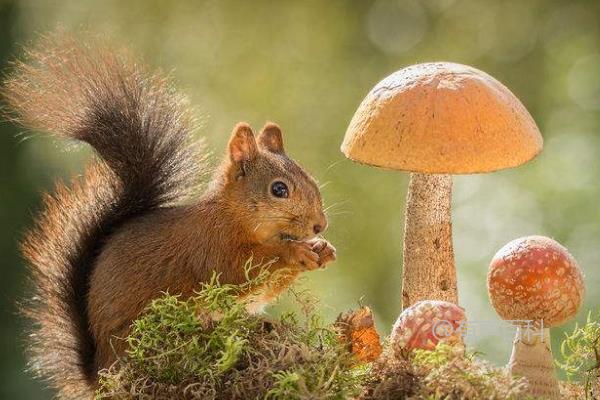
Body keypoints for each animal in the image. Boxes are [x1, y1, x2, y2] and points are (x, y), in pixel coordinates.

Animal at [2, 36, 336, 398]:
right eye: (278, 189)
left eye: (309, 178)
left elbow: (263, 290)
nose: (320, 225)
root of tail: (101, 375)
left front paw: (322, 249)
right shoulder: (211, 247)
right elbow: (241, 271)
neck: (234, 217)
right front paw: (296, 251)